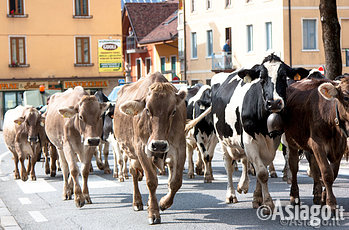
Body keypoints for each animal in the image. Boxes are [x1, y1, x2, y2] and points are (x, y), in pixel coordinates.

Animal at [113, 72, 186, 225]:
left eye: (173, 111)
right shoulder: (141, 148)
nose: (159, 145)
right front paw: (153, 212)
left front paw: (163, 203)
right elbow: (151, 181)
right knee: (134, 173)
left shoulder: (180, 147)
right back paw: (137, 202)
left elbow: (176, 182)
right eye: (147, 109)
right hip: (131, 153)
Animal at [209, 54, 308, 210]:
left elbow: (261, 170)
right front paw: (268, 202)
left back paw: (244, 186)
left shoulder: (272, 142)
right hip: (223, 139)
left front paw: (258, 197)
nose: (274, 103)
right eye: (261, 78)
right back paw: (231, 194)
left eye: (284, 76)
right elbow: (261, 172)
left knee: (245, 161)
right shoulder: (249, 140)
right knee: (228, 165)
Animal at [282, 76, 348, 211]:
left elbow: (333, 174)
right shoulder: (318, 144)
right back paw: (294, 197)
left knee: (313, 166)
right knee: (294, 166)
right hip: (292, 142)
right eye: (346, 97)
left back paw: (317, 194)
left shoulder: (340, 148)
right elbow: (327, 173)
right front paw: (331, 202)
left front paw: (323, 198)